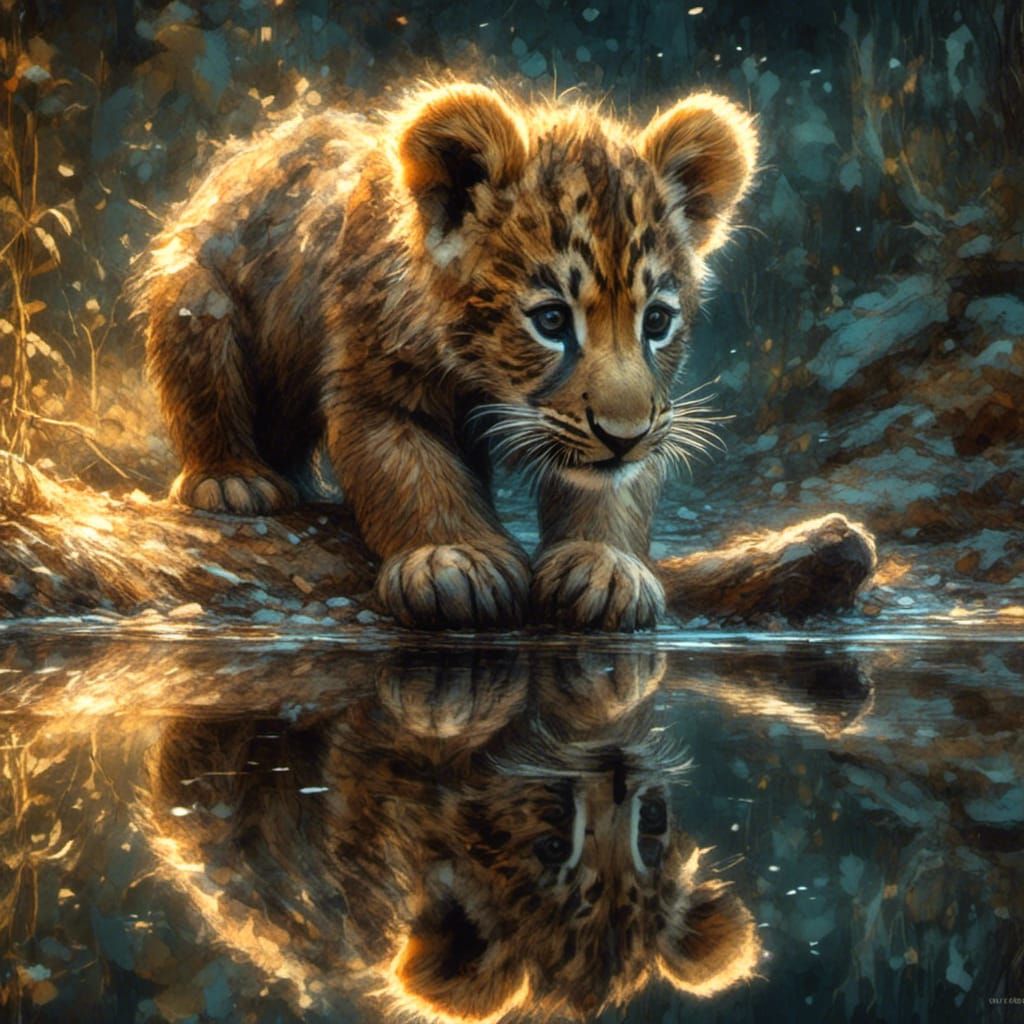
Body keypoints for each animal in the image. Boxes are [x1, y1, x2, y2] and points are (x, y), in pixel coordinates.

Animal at [137, 81, 758, 631]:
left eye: (656, 322)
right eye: (551, 321)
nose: (622, 435)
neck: (480, 375)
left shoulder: (648, 416)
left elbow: (613, 493)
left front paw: (607, 569)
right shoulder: (377, 391)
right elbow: (415, 477)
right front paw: (453, 561)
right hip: (197, 298)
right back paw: (233, 480)